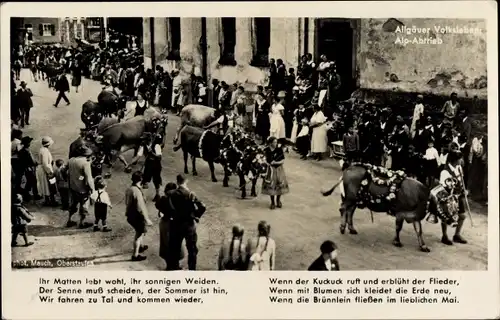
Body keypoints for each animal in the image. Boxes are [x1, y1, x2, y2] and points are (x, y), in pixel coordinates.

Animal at [320, 160, 458, 252]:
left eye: (456, 206)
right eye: (446, 204)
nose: (455, 222)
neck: (422, 196)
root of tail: (349, 169)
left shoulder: (414, 216)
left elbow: (419, 231)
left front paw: (423, 246)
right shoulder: (400, 213)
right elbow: (398, 228)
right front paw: (397, 241)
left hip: (355, 200)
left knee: (350, 211)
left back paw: (352, 228)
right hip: (350, 198)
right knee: (343, 208)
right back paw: (342, 227)